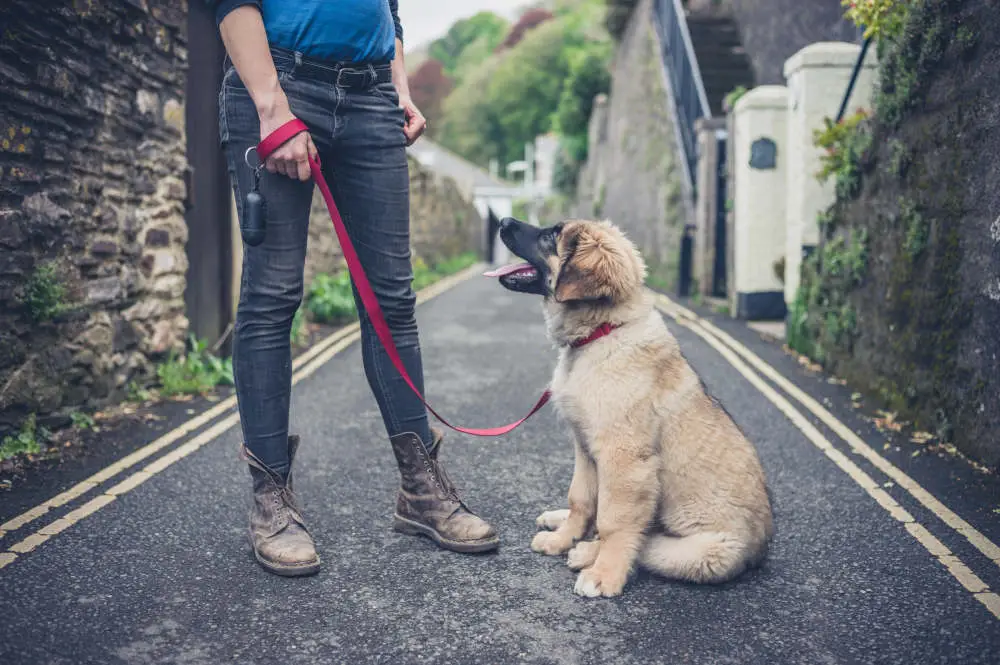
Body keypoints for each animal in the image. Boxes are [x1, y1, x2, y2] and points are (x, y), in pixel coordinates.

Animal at [484, 218, 772, 596]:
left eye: (550, 236)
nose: (503, 221)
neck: (601, 333)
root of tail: (761, 549)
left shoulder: (624, 459)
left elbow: (614, 522)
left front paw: (604, 573)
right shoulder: (585, 447)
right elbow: (580, 499)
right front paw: (562, 539)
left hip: (704, 551)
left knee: (646, 539)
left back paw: (587, 553)